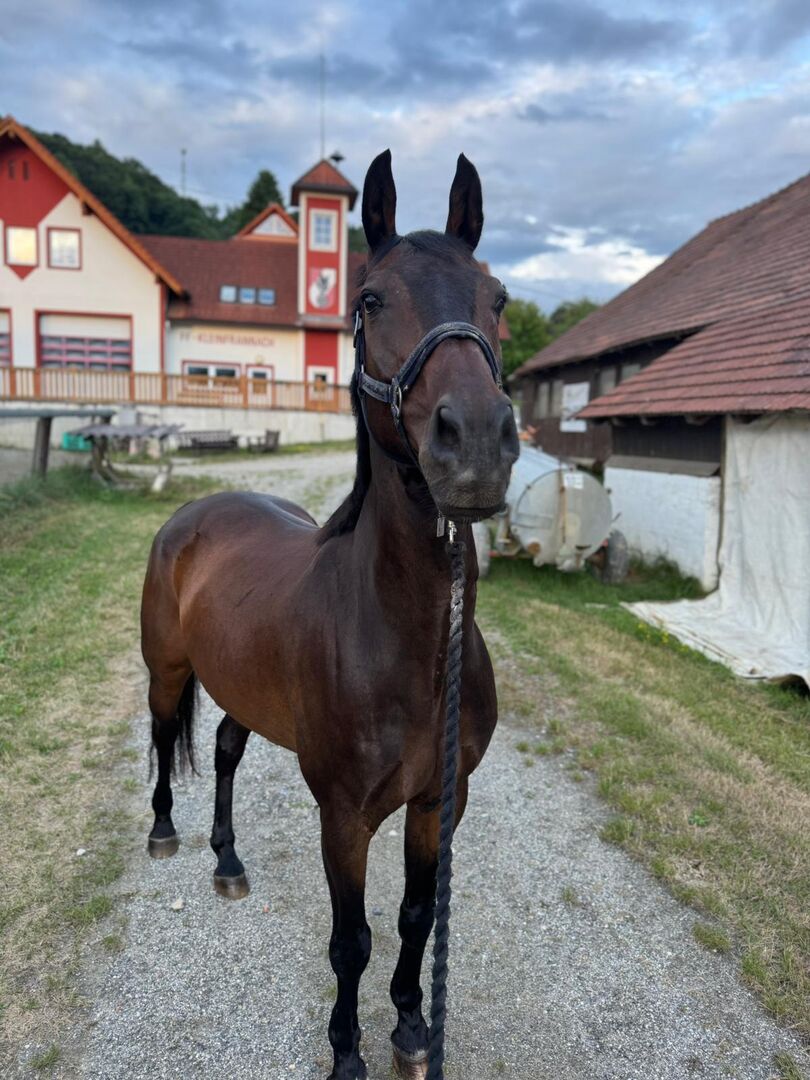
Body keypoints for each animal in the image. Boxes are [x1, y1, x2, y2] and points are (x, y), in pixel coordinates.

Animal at [140, 149, 519, 1080]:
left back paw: (227, 859)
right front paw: (347, 1052)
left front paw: (413, 1027)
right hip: (167, 670)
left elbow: (416, 917)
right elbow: (352, 940)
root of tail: (197, 511)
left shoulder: (439, 801)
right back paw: (165, 831)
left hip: (239, 688)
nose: (477, 442)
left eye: (496, 297)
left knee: (226, 752)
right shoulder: (343, 818)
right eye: (370, 300)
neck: (412, 647)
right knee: (165, 739)